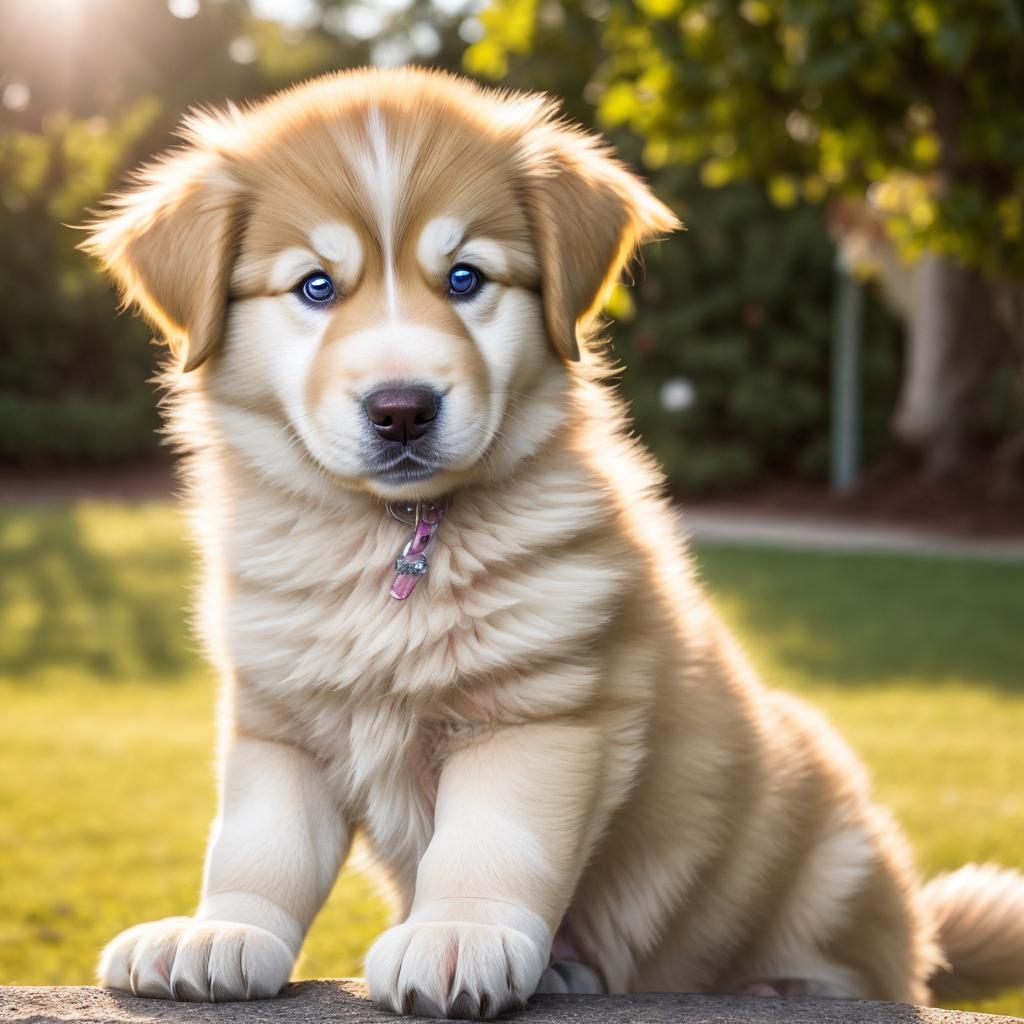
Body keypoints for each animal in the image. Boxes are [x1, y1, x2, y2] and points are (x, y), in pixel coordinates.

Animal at [83, 68, 1024, 1019]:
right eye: (316, 288)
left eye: (465, 278)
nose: (402, 409)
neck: (395, 539)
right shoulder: (280, 724)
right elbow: (258, 846)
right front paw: (221, 932)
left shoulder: (541, 713)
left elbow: (492, 845)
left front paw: (456, 934)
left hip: (832, 856)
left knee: (868, 967)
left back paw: (774, 982)